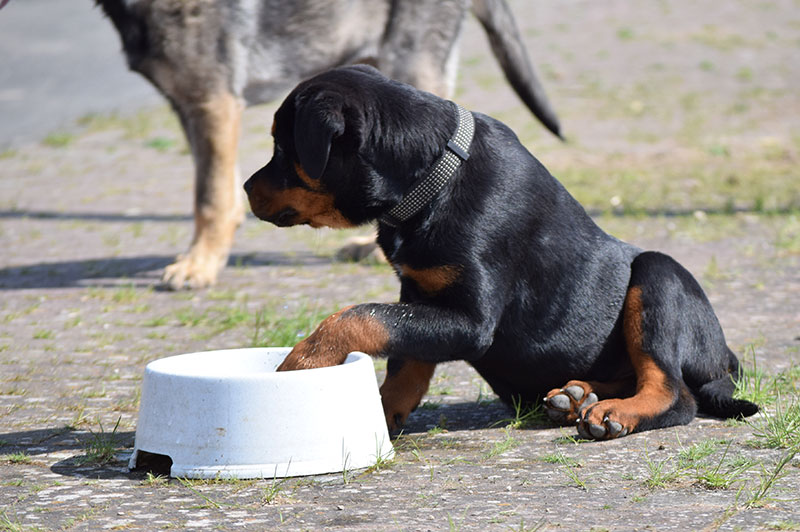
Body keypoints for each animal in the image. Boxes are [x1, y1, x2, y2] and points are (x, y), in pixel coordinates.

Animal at [97, 0, 560, 288]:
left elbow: (208, 196)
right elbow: (220, 189)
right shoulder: (194, 106)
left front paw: (199, 265)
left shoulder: (211, 99)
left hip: (408, 60)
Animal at [244, 65, 756, 440]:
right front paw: (381, 416)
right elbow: (404, 358)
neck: (430, 180)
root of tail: (727, 357)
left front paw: (302, 361)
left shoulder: (471, 321)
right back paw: (576, 396)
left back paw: (612, 413)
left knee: (674, 391)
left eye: (281, 146)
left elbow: (362, 317)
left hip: (658, 272)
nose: (246, 188)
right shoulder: (418, 293)